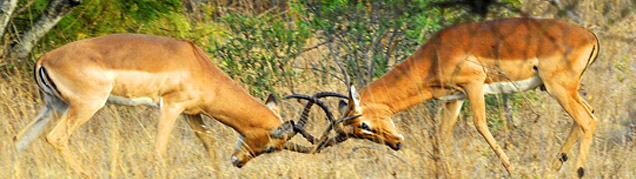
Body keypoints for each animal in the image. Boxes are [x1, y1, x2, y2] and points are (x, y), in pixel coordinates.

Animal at [13, 33, 322, 175]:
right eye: (271, 147)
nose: (238, 162)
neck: (198, 65)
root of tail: (44, 59)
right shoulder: (171, 107)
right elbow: (159, 150)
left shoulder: (192, 114)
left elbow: (209, 146)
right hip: (86, 106)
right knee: (55, 138)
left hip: (54, 107)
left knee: (19, 139)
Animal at [310, 18, 600, 178]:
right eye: (357, 133)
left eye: (364, 125)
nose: (396, 144)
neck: (434, 54)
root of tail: (590, 36)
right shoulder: (454, 98)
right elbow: (440, 139)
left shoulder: (474, 85)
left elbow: (480, 125)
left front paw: (512, 171)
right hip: (565, 90)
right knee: (587, 116)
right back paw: (553, 168)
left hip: (558, 88)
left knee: (586, 121)